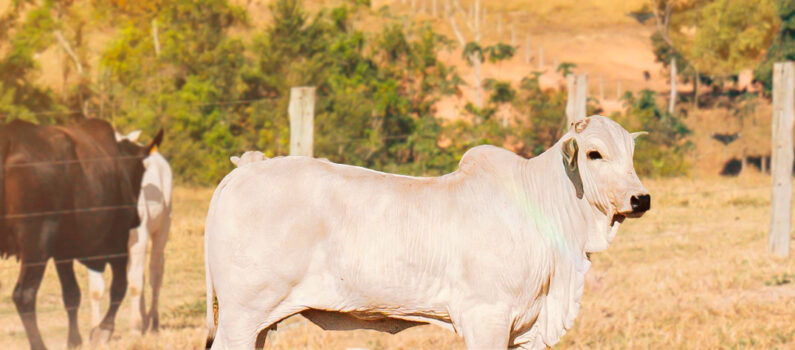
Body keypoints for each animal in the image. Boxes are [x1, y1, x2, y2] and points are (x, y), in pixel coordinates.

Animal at [0, 119, 163, 348]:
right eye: (139, 171)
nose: (136, 217)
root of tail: (9, 139)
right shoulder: (116, 244)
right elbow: (119, 287)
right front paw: (104, 330)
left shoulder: (63, 251)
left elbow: (72, 294)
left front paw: (74, 340)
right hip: (37, 241)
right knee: (24, 295)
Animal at [88, 131, 173, 334]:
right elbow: (96, 289)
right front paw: (95, 328)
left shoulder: (138, 239)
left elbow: (135, 284)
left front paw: (134, 327)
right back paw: (144, 320)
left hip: (163, 227)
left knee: (155, 273)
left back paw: (153, 322)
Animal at [202, 116, 648, 348]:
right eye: (594, 153)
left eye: (631, 154)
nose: (640, 199)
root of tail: (243, 171)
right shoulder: (486, 317)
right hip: (241, 318)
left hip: (259, 323)